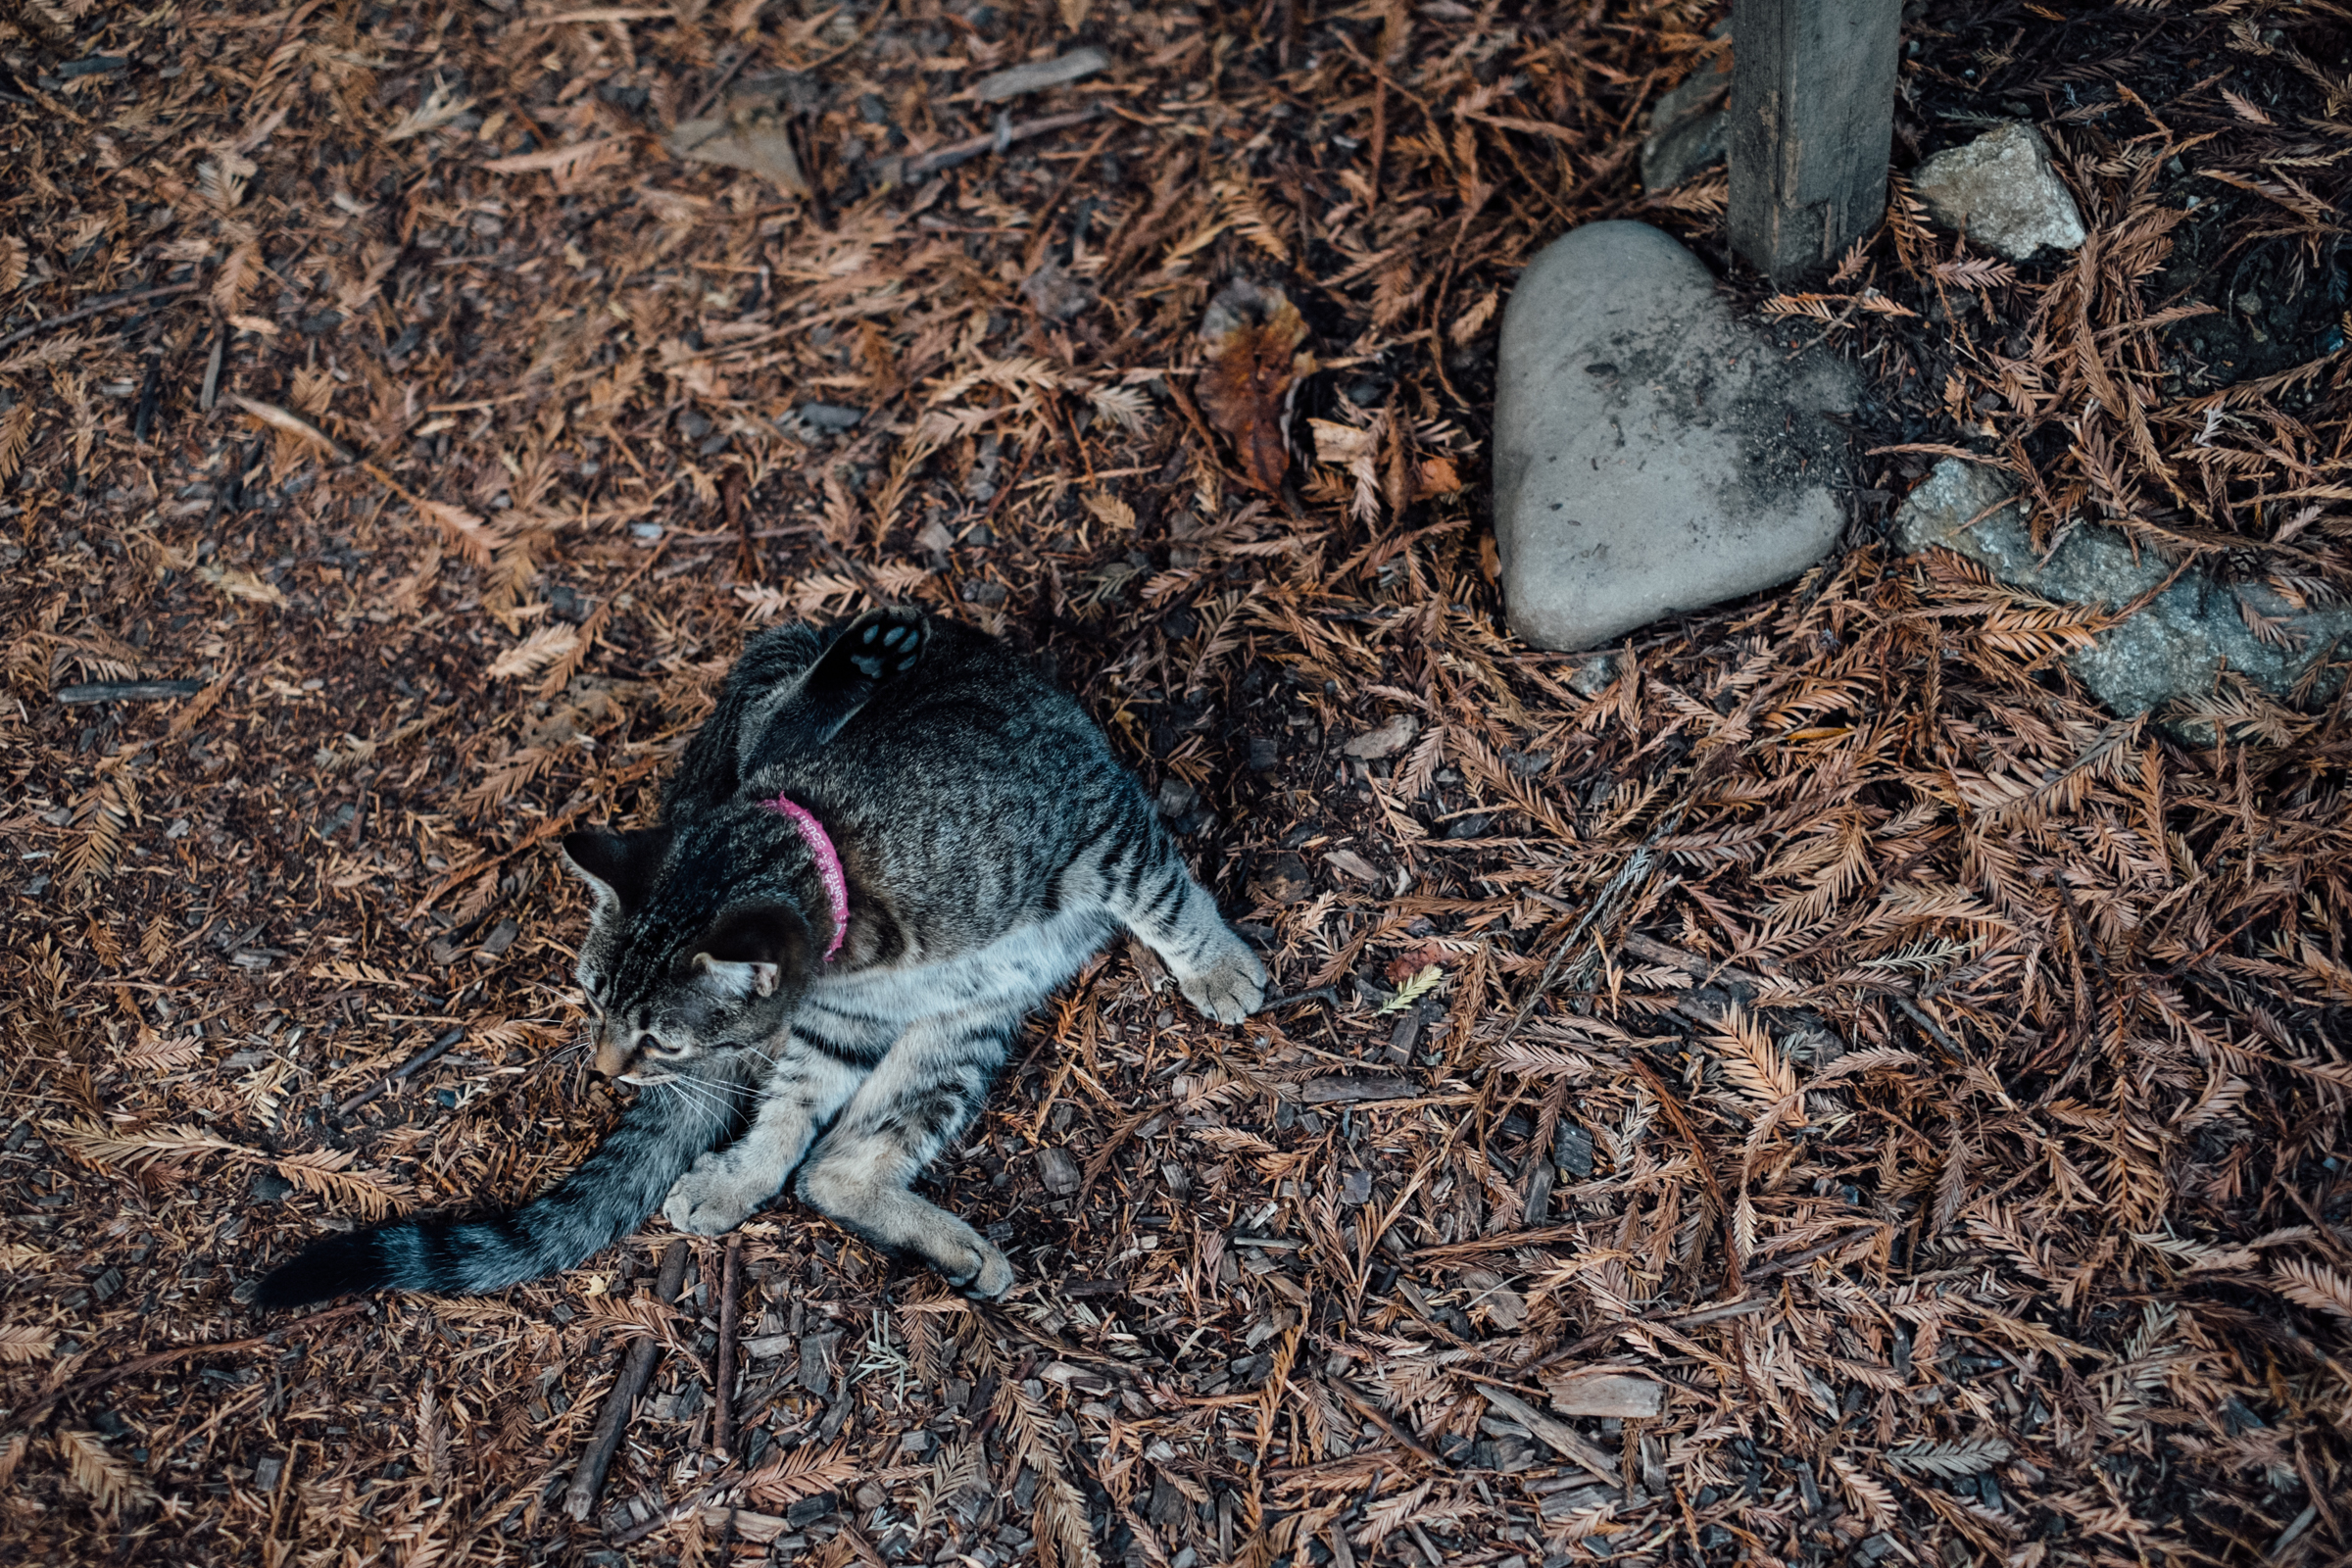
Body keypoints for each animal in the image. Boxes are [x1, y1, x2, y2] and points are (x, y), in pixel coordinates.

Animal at [255, 607, 1266, 1306]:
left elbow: (1169, 899)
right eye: (589, 999)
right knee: (830, 1170)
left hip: (958, 1026)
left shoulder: (1103, 828)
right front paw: (739, 1174)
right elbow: (787, 1116)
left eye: (661, 1039)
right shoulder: (836, 1023)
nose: (608, 1067)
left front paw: (1215, 967)